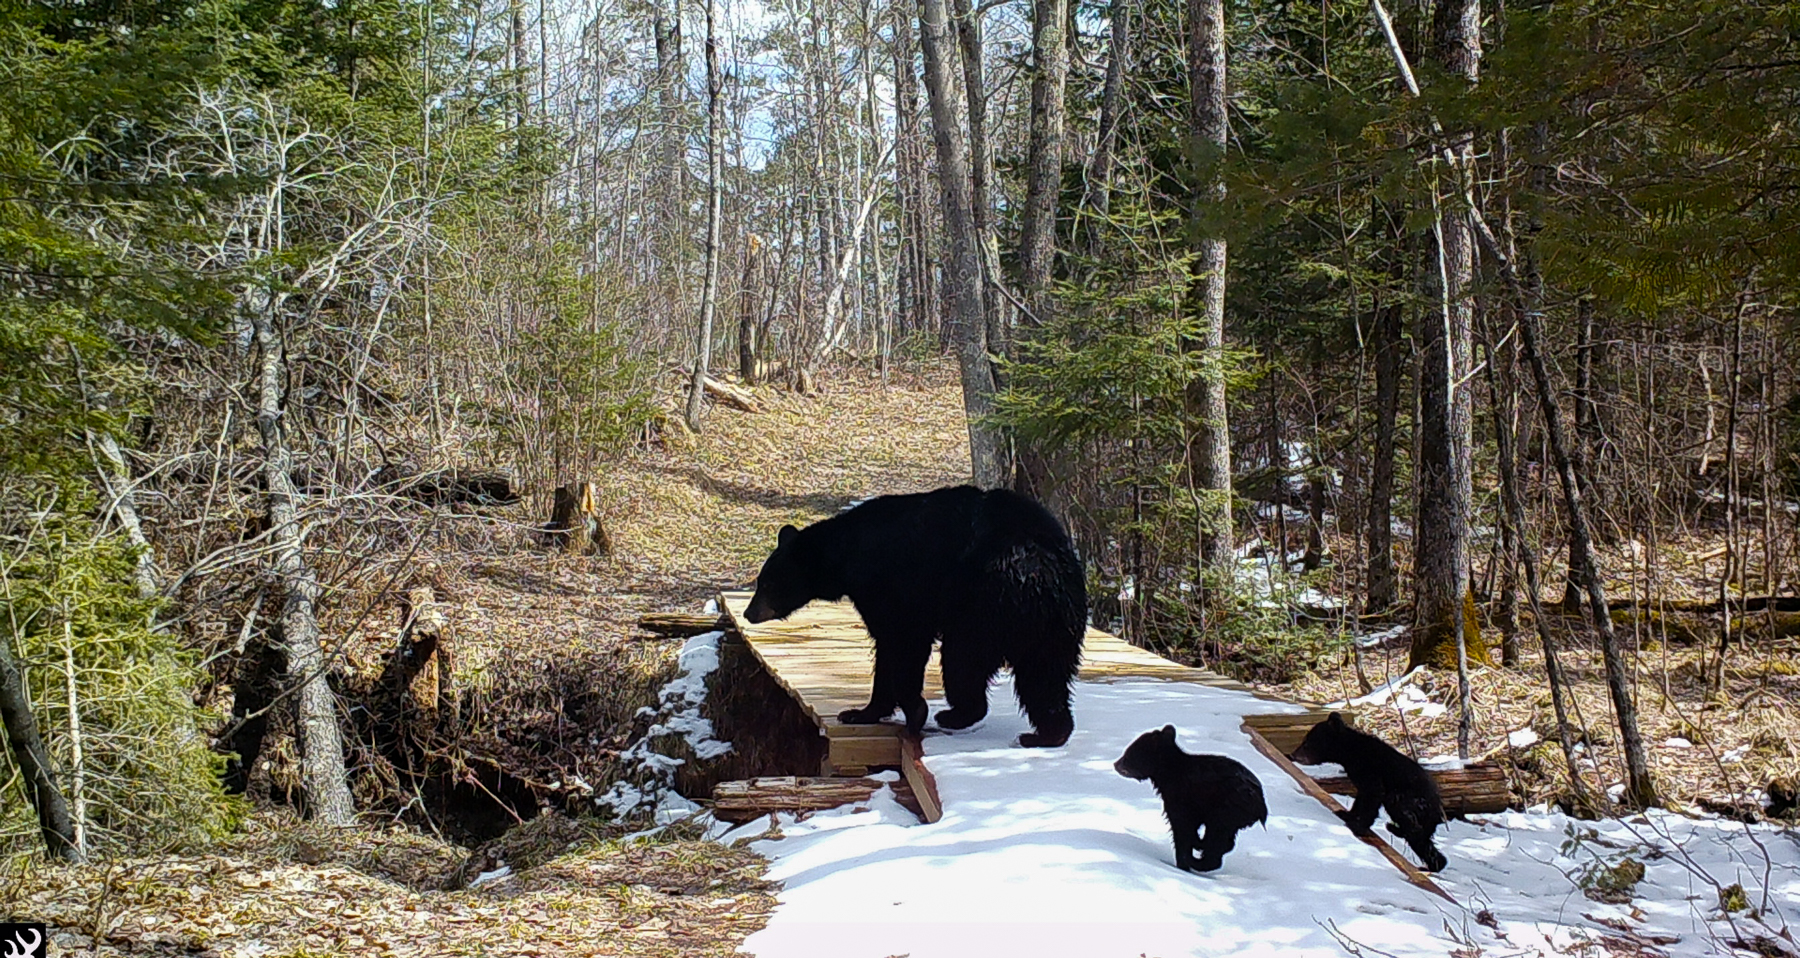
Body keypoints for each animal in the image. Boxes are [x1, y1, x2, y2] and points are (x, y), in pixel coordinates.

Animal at [743, 485, 1086, 748]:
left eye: (768, 583)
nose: (748, 613)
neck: (847, 556)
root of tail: (1041, 568)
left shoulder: (895, 586)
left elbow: (903, 642)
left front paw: (914, 711)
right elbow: (885, 652)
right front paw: (861, 712)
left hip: (984, 606)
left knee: (963, 660)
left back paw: (955, 714)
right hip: (1054, 624)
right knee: (1044, 676)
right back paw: (1047, 735)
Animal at [1114, 725, 1268, 873]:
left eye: (1128, 753)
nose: (1116, 764)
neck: (1167, 774)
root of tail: (1259, 802)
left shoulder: (1181, 797)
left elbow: (1181, 826)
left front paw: (1184, 860)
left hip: (1225, 809)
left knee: (1216, 837)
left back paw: (1197, 860)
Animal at [1288, 712, 1449, 872]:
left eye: (1307, 742)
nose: (1292, 755)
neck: (1349, 753)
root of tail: (1438, 805)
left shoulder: (1370, 770)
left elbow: (1373, 795)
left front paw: (1358, 826)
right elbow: (1361, 797)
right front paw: (1346, 813)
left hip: (1409, 800)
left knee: (1412, 826)